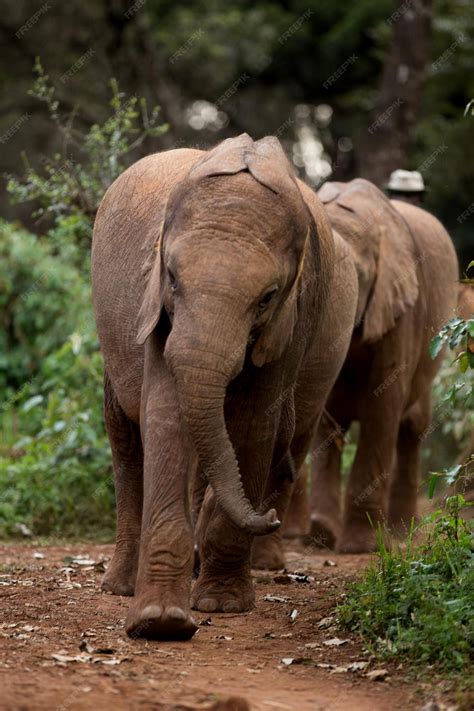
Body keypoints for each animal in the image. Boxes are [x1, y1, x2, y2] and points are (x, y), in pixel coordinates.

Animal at [91, 134, 359, 640]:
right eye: (172, 278)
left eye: (267, 298)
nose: (271, 519)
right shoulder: (155, 309)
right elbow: (164, 415)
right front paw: (160, 622)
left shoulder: (294, 316)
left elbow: (254, 424)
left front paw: (222, 604)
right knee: (126, 439)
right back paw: (120, 587)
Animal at [253, 177, 459, 564]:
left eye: (359, 277)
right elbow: (323, 415)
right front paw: (320, 536)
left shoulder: (400, 306)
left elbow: (383, 405)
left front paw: (362, 546)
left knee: (412, 428)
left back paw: (401, 533)